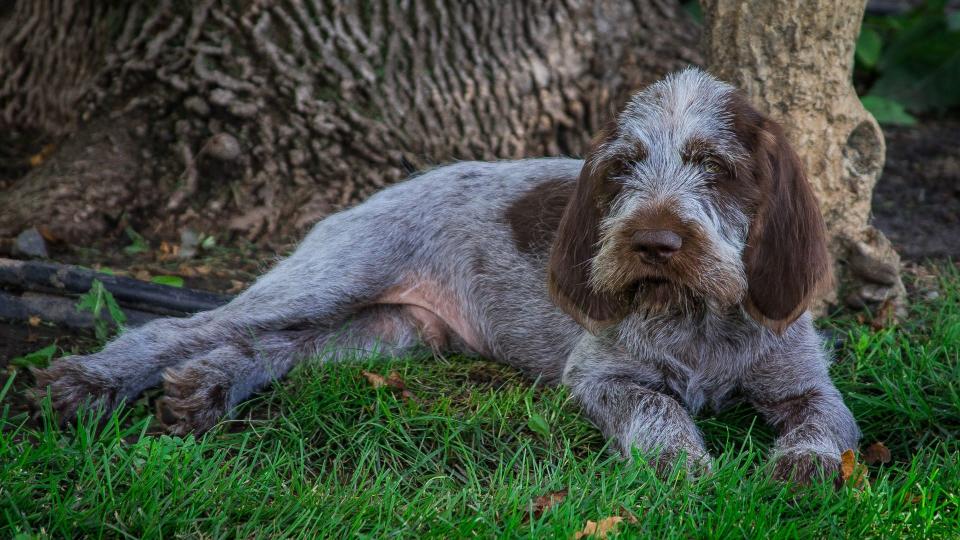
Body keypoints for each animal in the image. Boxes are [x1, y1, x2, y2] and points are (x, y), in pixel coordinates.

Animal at [35, 68, 856, 486]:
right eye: (624, 167)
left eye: (716, 167)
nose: (653, 242)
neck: (699, 313)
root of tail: (378, 193)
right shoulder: (603, 374)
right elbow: (660, 412)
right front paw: (681, 469)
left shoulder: (804, 380)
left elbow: (830, 423)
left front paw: (807, 466)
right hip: (333, 277)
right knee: (190, 326)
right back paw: (87, 383)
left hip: (394, 330)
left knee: (274, 349)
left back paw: (205, 389)